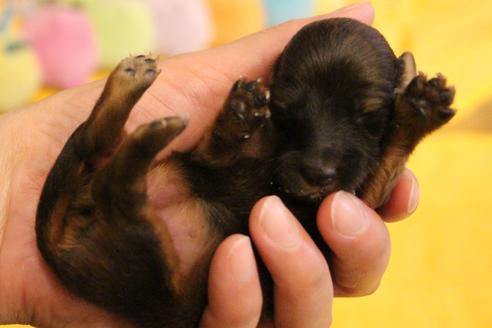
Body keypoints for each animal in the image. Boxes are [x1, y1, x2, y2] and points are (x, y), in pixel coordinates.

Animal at [36, 18, 456, 328]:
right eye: (285, 112)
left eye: (370, 116)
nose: (317, 174)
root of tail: (59, 251)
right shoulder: (209, 159)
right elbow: (218, 147)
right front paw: (238, 112)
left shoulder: (362, 199)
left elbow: (388, 159)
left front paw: (418, 110)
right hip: (152, 263)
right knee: (110, 174)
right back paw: (139, 99)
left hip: (156, 274)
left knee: (100, 155)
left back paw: (134, 91)